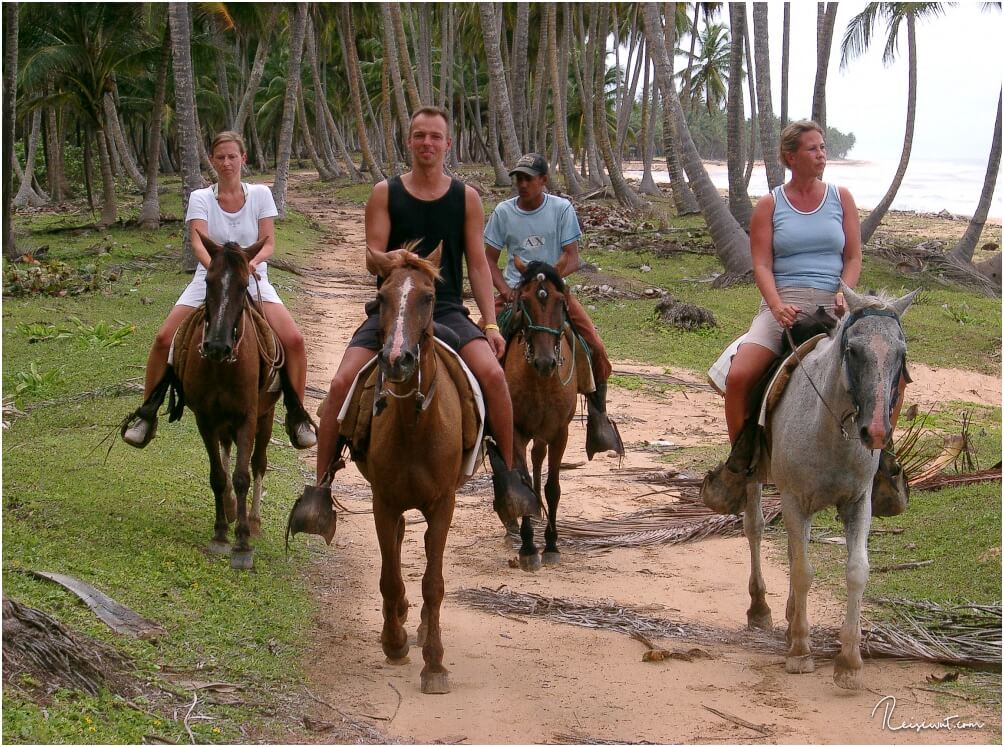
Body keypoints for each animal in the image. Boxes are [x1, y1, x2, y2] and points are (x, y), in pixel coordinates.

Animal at [169, 235, 287, 570]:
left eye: (244, 284)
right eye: (208, 281)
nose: (217, 346)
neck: (222, 366)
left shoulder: (248, 416)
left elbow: (242, 476)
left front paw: (243, 543)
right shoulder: (206, 419)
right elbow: (219, 476)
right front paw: (221, 534)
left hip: (266, 416)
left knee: (259, 463)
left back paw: (255, 520)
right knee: (226, 453)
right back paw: (233, 508)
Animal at [746, 283, 919, 690]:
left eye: (901, 354)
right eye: (852, 350)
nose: (875, 432)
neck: (830, 430)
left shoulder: (858, 503)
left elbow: (856, 571)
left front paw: (850, 662)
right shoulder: (793, 500)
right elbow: (802, 571)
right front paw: (799, 651)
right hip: (758, 479)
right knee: (755, 528)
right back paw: (760, 607)